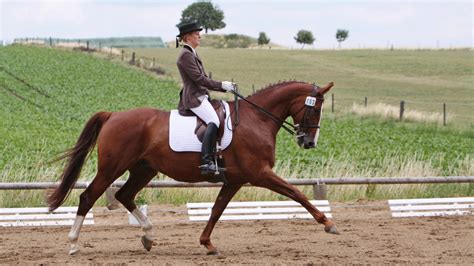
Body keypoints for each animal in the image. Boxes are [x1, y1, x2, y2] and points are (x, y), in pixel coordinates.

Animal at [47, 80, 336, 256]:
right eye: (316, 109)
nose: (309, 142)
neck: (257, 119)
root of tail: (113, 115)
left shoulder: (235, 180)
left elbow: (217, 210)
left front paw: (207, 244)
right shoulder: (260, 173)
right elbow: (297, 194)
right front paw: (328, 223)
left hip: (144, 169)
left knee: (124, 195)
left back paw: (148, 236)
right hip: (112, 168)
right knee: (88, 196)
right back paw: (73, 244)